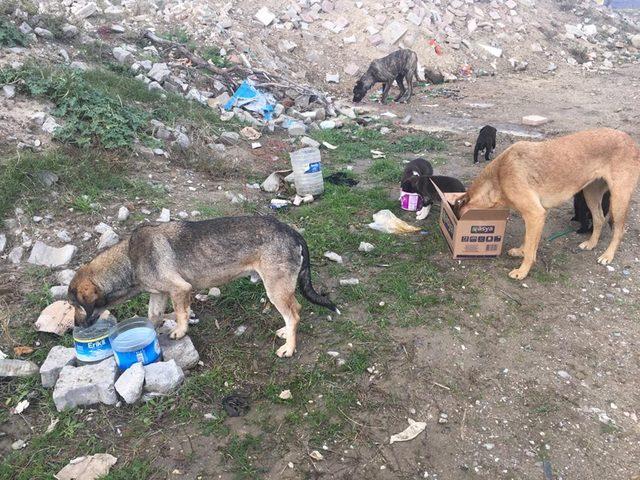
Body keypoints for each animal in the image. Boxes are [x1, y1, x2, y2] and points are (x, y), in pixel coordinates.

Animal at [456, 128, 640, 282]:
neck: (499, 176)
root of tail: (631, 140)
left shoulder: (535, 214)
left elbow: (530, 249)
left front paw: (522, 271)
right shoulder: (536, 217)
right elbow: (529, 241)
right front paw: (521, 251)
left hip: (618, 199)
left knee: (619, 230)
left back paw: (608, 255)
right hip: (590, 194)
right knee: (599, 219)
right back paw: (591, 243)